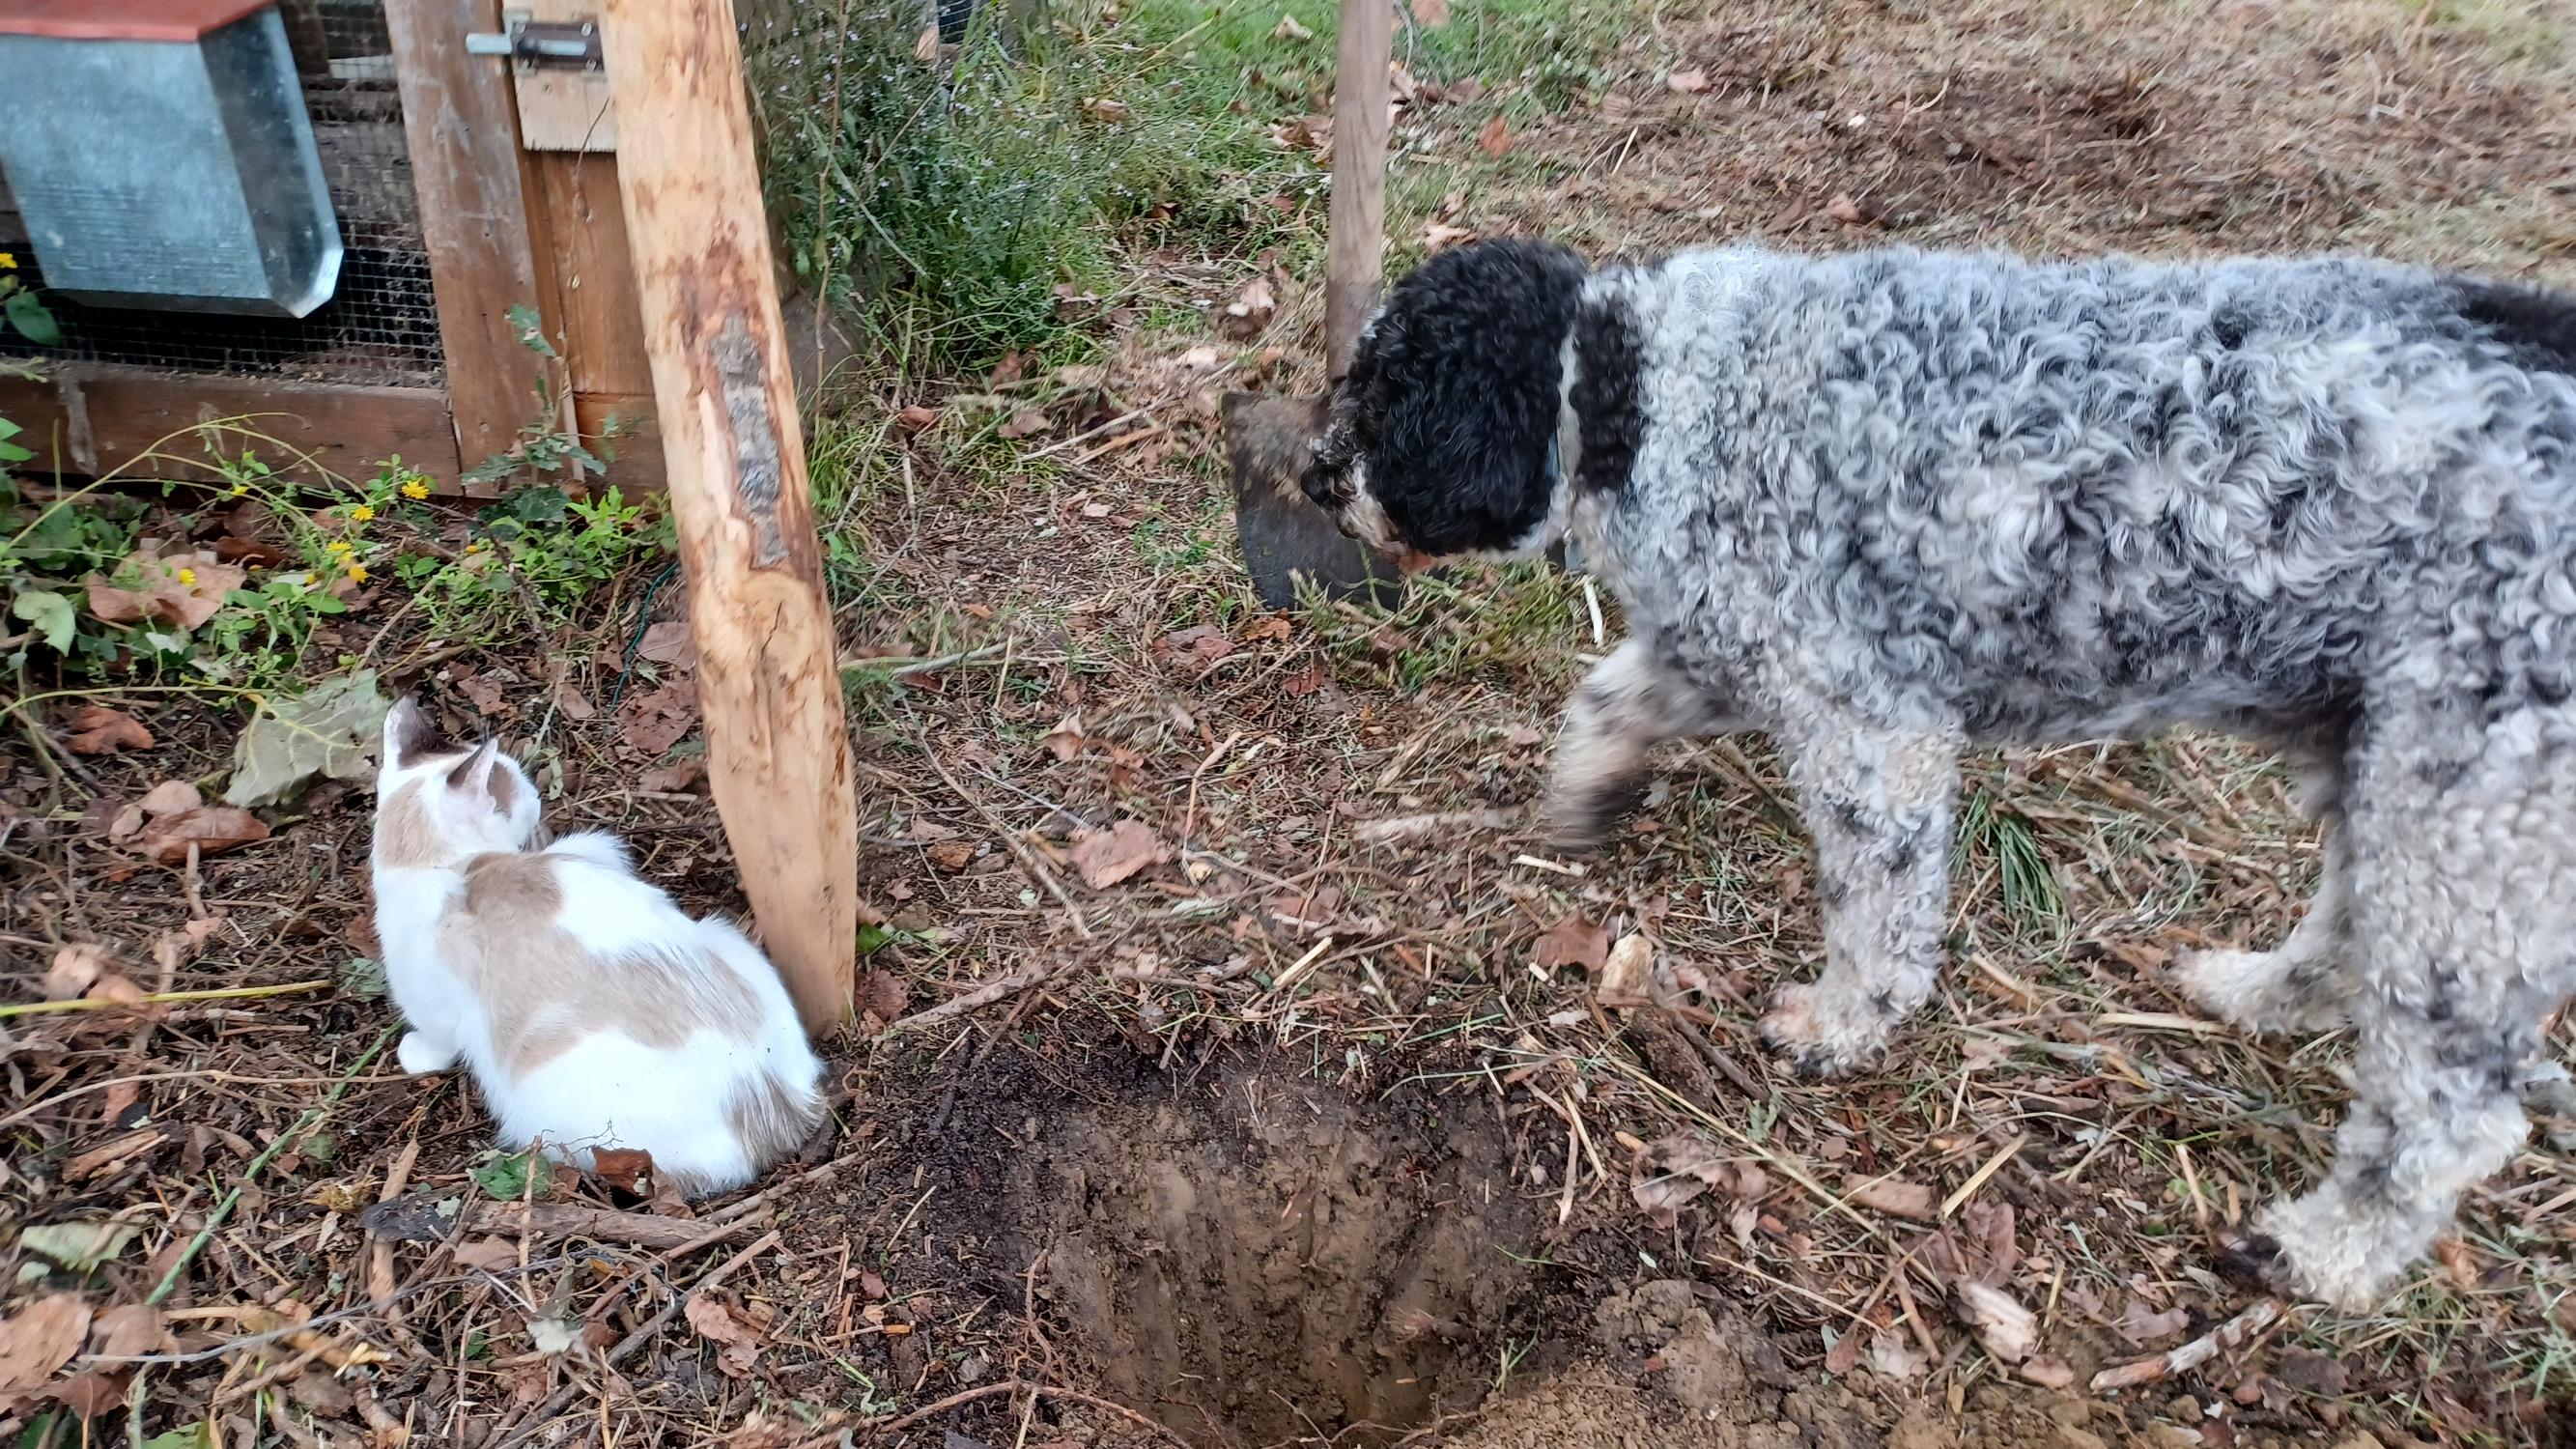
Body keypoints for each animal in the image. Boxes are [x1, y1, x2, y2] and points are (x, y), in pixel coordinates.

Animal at [369, 696, 824, 1197]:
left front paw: (414, 1056)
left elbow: (434, 1039)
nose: (538, 800)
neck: (443, 863)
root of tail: (770, 1098)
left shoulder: (429, 1001)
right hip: (727, 936)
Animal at [1297, 237, 2576, 1311]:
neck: (1648, 394)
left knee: (2450, 1115)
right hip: (2383, 751)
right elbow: (1611, 698)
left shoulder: (1868, 716)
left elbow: (1881, 907)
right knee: (2353, 931)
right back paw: (2256, 992)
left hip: (2477, 807)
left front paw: (1843, 1021)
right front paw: (1582, 797)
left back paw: (2327, 1249)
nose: (1314, 478)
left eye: (1389, 394)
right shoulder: (1731, 643)